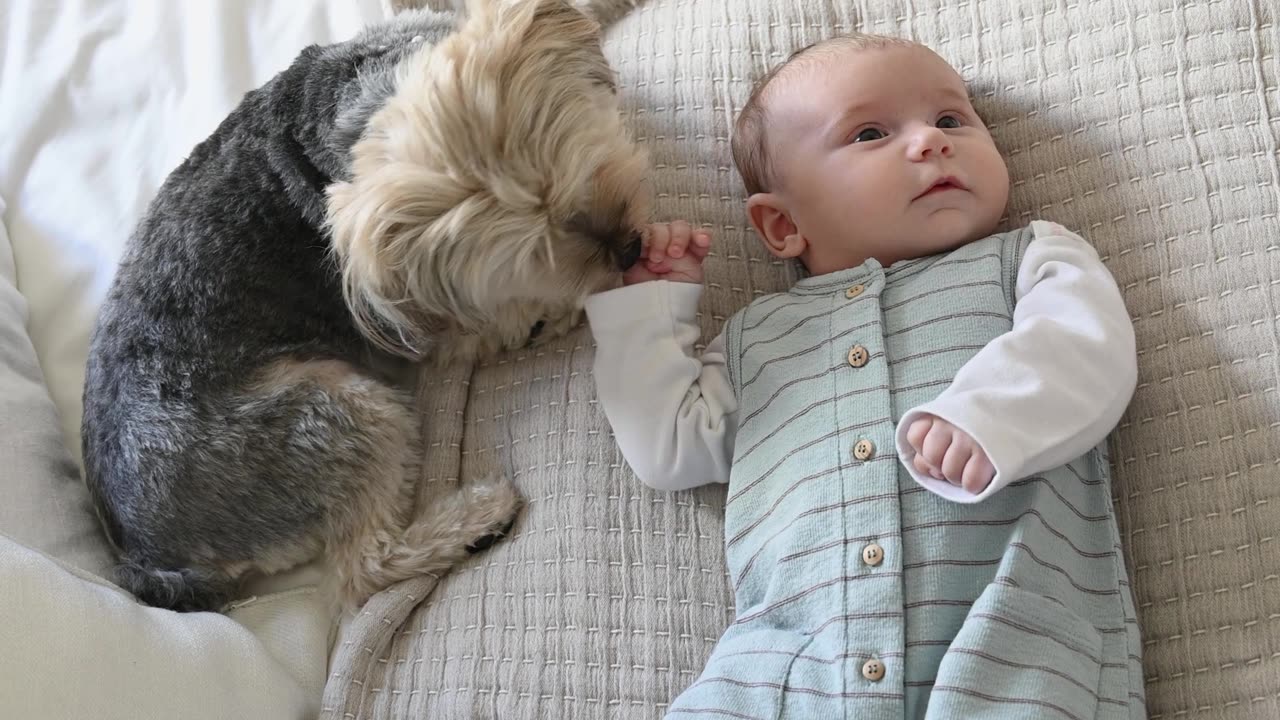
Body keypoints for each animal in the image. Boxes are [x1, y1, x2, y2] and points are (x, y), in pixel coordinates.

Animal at [82, 0, 650, 609]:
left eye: (586, 173)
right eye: (534, 253)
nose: (630, 249)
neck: (364, 108)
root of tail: (150, 558)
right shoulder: (434, 327)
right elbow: (500, 322)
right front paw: (559, 309)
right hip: (335, 412)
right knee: (364, 568)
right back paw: (476, 519)